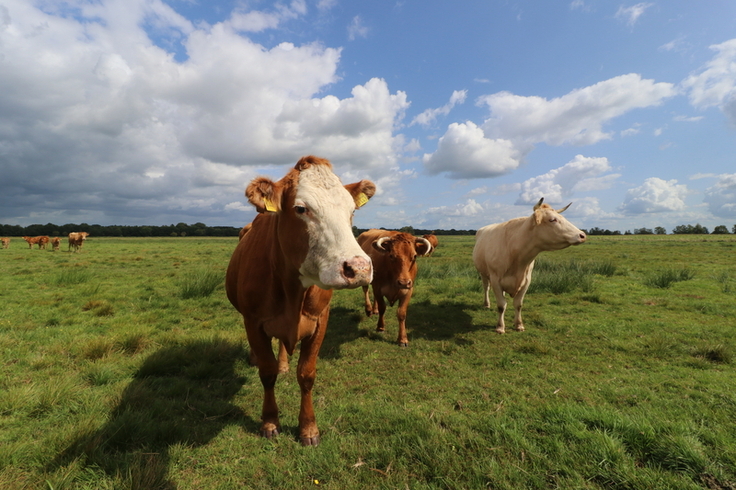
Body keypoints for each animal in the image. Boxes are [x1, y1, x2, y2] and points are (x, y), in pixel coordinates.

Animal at [472, 198, 588, 334]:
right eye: (552, 219)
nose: (582, 235)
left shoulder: (527, 280)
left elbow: (518, 304)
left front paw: (519, 325)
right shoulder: (495, 279)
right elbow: (501, 305)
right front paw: (500, 327)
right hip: (483, 273)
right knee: (486, 288)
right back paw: (486, 304)